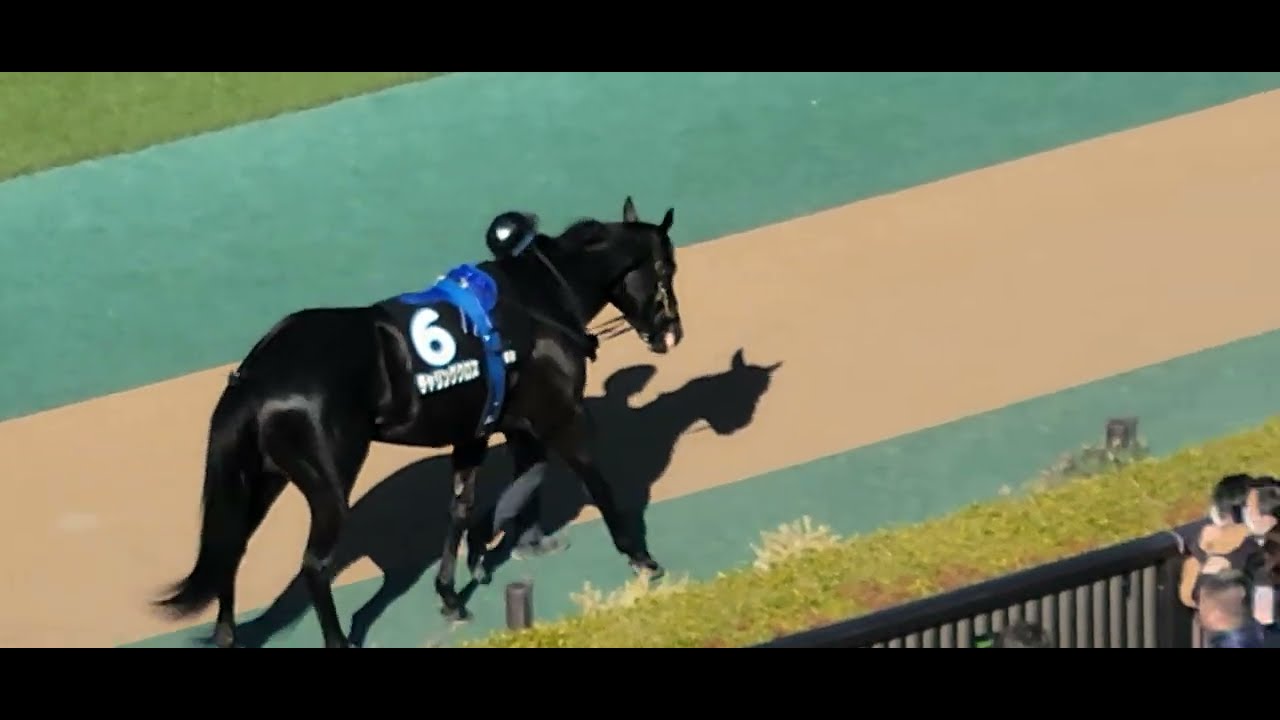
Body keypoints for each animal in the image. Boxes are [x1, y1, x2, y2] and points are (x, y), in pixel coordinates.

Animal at [155, 196, 685, 648]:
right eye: (667, 268)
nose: (671, 333)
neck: (538, 299)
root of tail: (256, 375)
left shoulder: (481, 430)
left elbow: (469, 505)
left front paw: (457, 589)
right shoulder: (562, 416)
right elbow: (595, 480)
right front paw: (641, 557)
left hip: (263, 476)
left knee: (231, 549)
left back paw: (227, 635)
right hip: (328, 484)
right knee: (314, 565)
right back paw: (338, 640)